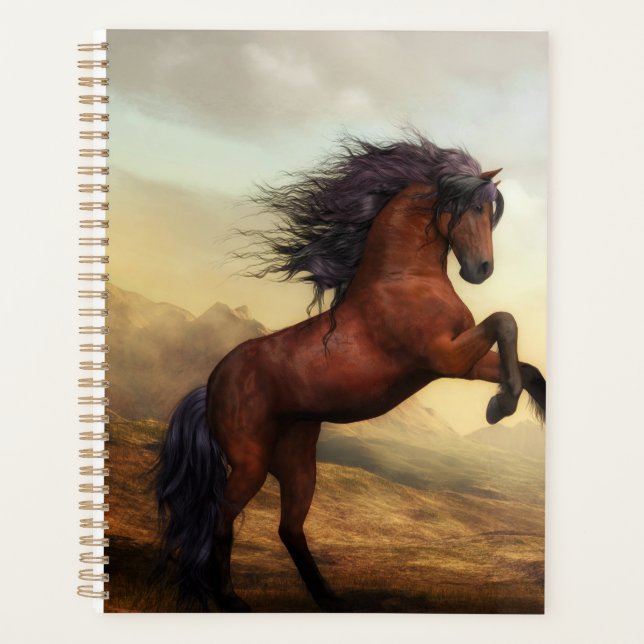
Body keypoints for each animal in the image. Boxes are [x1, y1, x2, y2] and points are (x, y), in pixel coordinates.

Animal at [155, 133, 546, 612]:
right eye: (473, 208)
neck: (404, 279)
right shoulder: (443, 358)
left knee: (290, 528)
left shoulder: (462, 363)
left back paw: (330, 599)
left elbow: (527, 367)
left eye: (492, 212)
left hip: (297, 460)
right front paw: (500, 406)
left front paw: (504, 402)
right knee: (222, 515)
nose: (481, 271)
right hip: (250, 462)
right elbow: (505, 321)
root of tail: (210, 385)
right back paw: (230, 598)